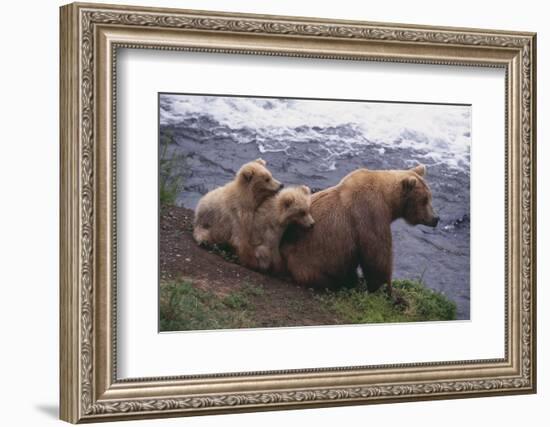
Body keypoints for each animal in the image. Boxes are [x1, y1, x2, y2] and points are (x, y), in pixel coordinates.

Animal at [280, 166, 440, 296]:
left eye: (430, 197)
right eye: (425, 200)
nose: (435, 218)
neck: (388, 202)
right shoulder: (370, 214)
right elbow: (378, 256)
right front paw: (390, 294)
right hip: (308, 261)